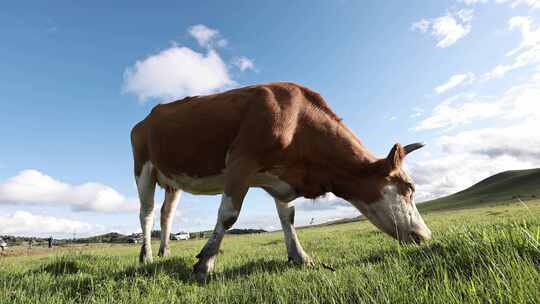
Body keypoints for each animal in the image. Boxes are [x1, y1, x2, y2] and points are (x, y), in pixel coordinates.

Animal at [130, 81, 430, 280]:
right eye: (409, 188)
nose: (426, 236)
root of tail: (147, 117)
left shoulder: (279, 178)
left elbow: (288, 218)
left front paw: (300, 256)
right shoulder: (241, 161)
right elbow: (228, 215)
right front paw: (205, 264)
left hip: (172, 180)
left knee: (166, 214)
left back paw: (165, 251)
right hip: (143, 168)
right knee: (146, 213)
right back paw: (146, 255)